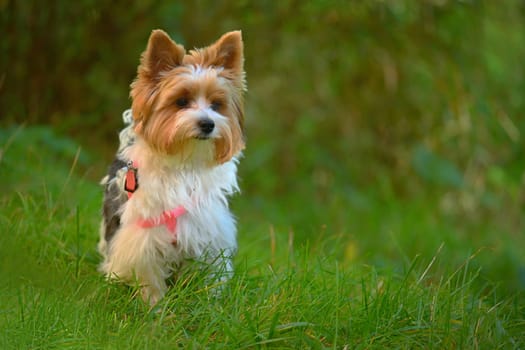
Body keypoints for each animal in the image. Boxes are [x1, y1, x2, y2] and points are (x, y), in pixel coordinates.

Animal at [97, 29, 245, 304]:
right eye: (181, 102)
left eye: (216, 105)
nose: (208, 124)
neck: (184, 162)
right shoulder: (143, 235)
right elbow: (149, 276)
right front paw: (155, 306)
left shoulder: (205, 232)